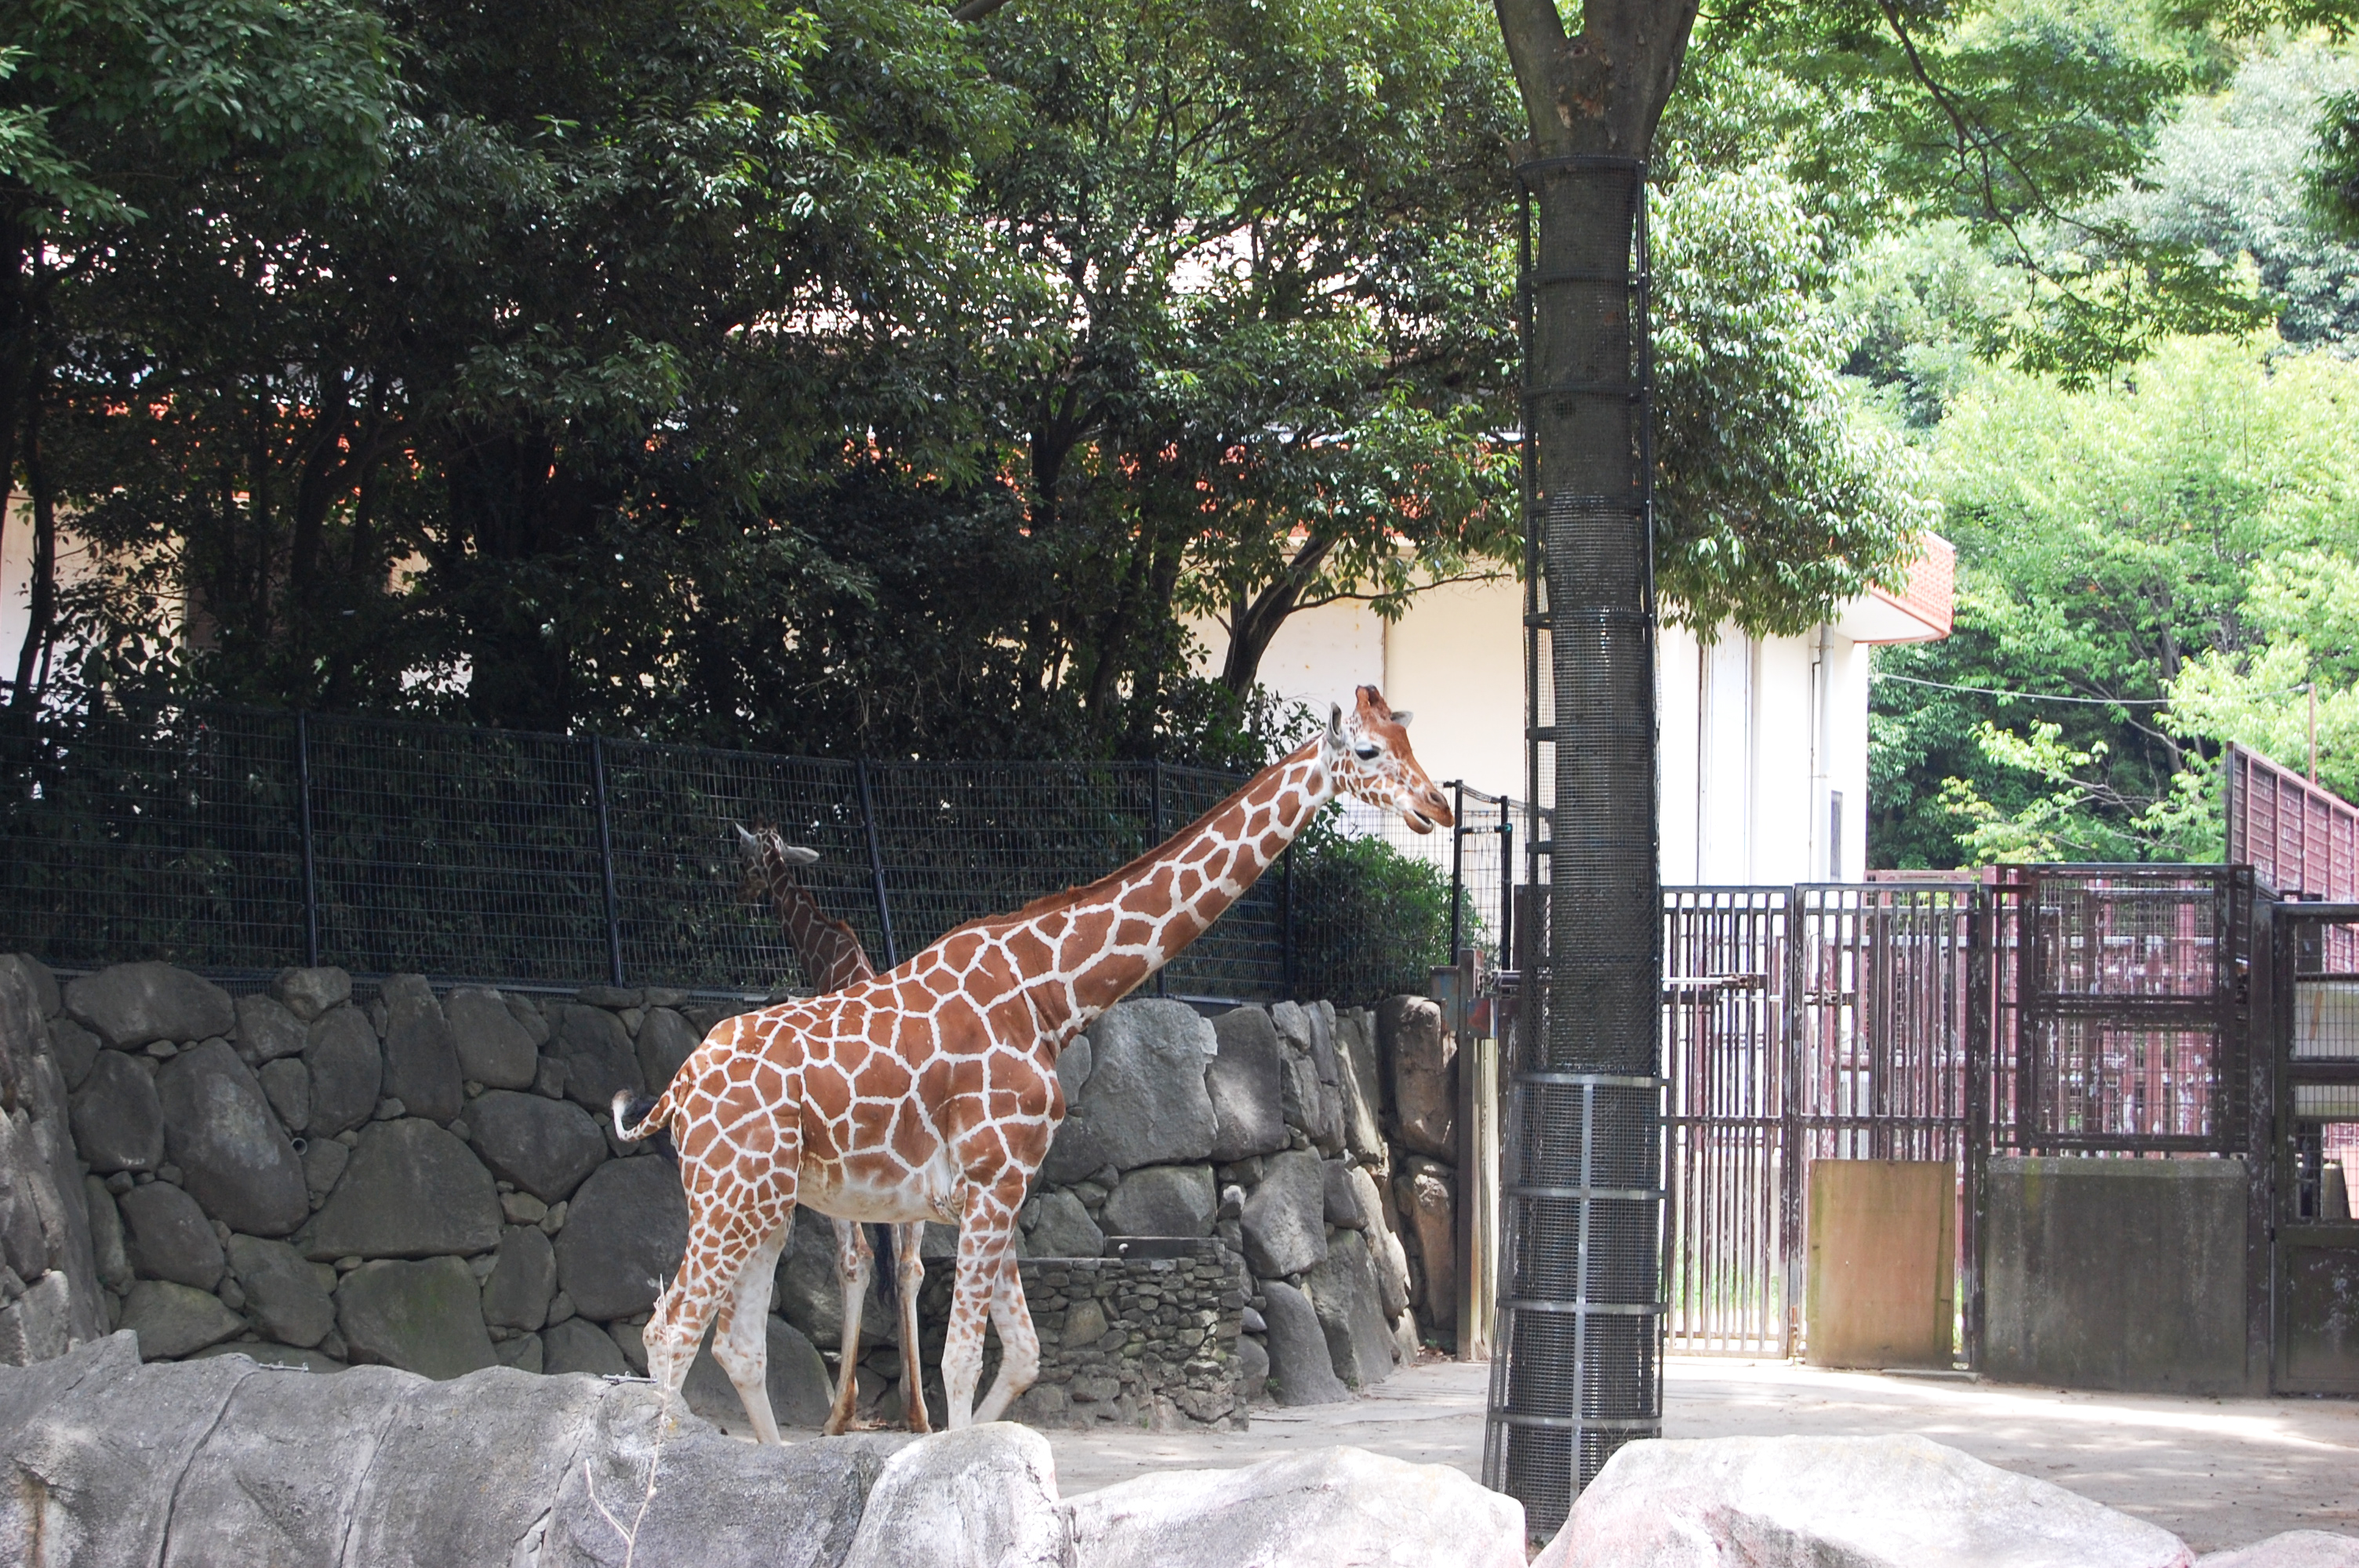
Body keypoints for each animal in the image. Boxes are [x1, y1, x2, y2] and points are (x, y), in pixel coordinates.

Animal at [730, 822, 930, 1433]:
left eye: (745, 862)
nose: (741, 894)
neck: (832, 960)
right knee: (910, 1266)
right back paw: (918, 1413)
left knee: (857, 1259)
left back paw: (838, 1414)